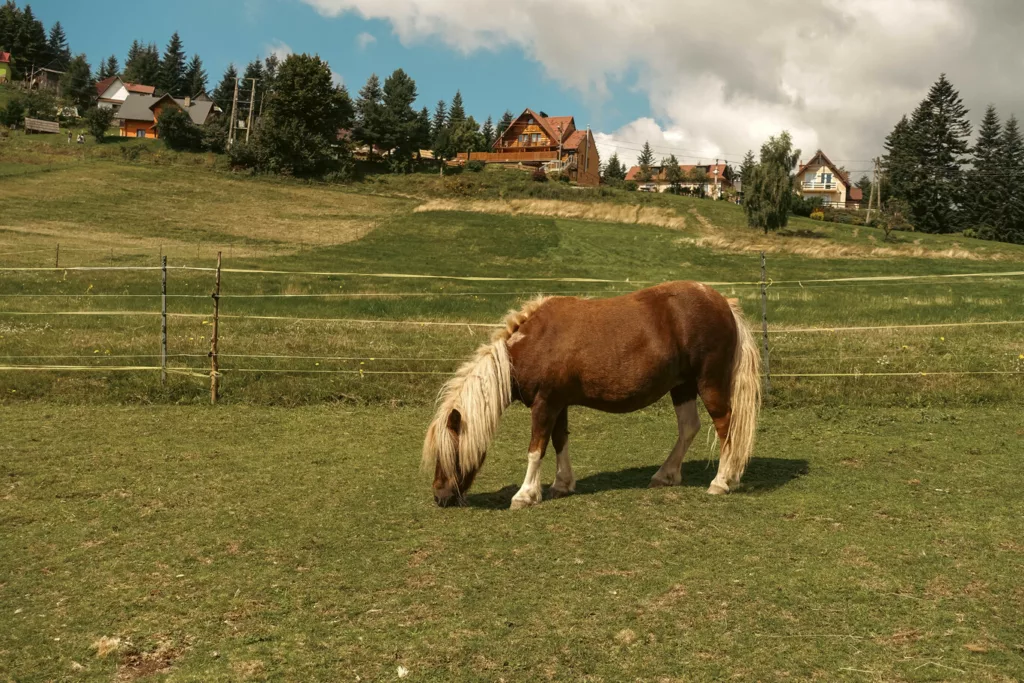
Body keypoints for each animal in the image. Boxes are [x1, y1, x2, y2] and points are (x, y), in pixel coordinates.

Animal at [421, 280, 761, 509]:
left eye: (448, 452)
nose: (439, 496)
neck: (535, 342)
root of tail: (721, 301)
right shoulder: (558, 403)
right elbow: (559, 440)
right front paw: (561, 484)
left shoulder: (544, 403)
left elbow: (536, 448)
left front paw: (525, 495)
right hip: (682, 386)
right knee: (689, 427)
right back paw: (666, 475)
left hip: (709, 382)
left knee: (725, 426)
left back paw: (722, 481)